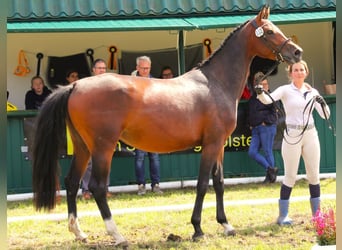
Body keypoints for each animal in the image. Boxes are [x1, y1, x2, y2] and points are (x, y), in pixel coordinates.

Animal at [32, 5, 302, 246]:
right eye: (269, 31)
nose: (297, 52)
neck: (215, 83)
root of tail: (76, 85)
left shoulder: (219, 146)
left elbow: (219, 183)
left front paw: (226, 225)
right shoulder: (211, 144)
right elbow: (202, 184)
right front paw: (197, 229)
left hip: (83, 147)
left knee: (71, 182)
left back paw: (79, 233)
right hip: (102, 148)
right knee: (97, 187)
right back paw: (118, 236)